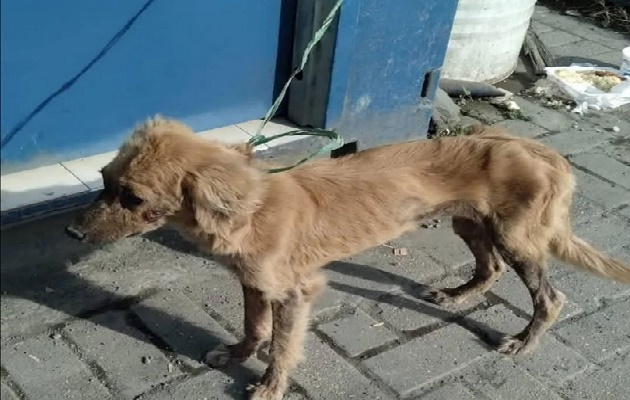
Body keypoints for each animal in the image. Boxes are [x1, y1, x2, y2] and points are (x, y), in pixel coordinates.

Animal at [66, 116, 628, 400]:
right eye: (103, 181)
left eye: (133, 197)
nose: (73, 232)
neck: (251, 208)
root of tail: (537, 149)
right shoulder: (253, 281)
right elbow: (253, 326)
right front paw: (238, 353)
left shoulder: (296, 293)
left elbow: (283, 347)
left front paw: (269, 386)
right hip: (471, 223)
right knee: (488, 268)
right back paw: (455, 295)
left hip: (517, 239)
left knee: (552, 298)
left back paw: (523, 343)